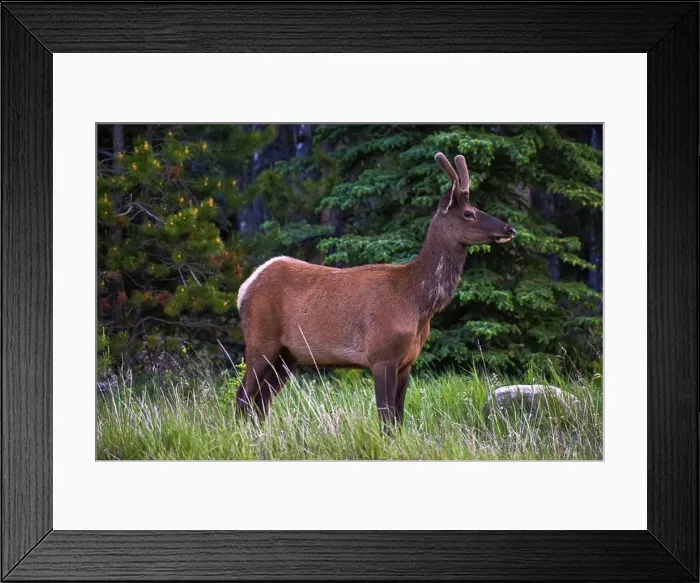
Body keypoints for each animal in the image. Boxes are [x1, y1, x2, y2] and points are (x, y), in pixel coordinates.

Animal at [235, 152, 516, 429]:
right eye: (469, 213)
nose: (509, 228)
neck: (417, 302)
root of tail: (245, 287)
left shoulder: (407, 362)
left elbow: (398, 419)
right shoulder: (381, 354)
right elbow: (385, 417)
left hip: (289, 354)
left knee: (261, 401)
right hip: (260, 340)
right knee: (243, 396)